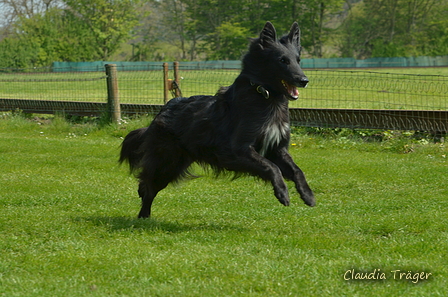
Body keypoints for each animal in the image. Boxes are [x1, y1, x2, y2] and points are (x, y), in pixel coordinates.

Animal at [120, 20, 316, 215]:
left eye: (298, 60)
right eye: (282, 60)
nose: (304, 80)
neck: (265, 95)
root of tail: (166, 107)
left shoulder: (277, 149)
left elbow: (297, 170)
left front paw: (308, 195)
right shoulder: (240, 150)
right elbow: (272, 167)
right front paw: (282, 193)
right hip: (167, 163)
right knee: (148, 187)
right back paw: (143, 216)